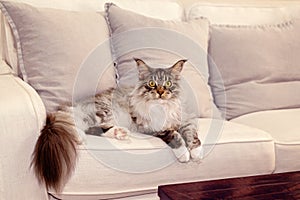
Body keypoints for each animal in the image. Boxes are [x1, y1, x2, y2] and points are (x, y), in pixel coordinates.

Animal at [31, 57, 202, 191]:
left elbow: (193, 136)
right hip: (100, 112)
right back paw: (81, 137)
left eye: (167, 84)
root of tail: (72, 106)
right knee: (77, 126)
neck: (163, 108)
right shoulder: (150, 127)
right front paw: (184, 153)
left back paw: (120, 132)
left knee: (92, 129)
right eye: (152, 84)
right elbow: (174, 135)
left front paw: (196, 153)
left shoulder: (186, 120)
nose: (160, 92)